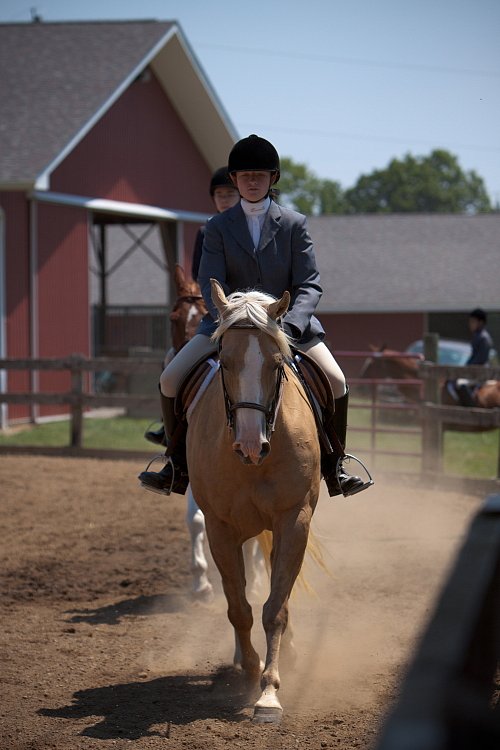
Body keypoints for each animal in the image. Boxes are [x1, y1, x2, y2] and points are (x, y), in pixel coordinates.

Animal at [186, 280, 322, 724]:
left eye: (277, 363)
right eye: (224, 362)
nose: (249, 444)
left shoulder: (294, 521)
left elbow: (275, 607)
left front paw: (269, 693)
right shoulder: (220, 527)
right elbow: (239, 607)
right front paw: (248, 671)